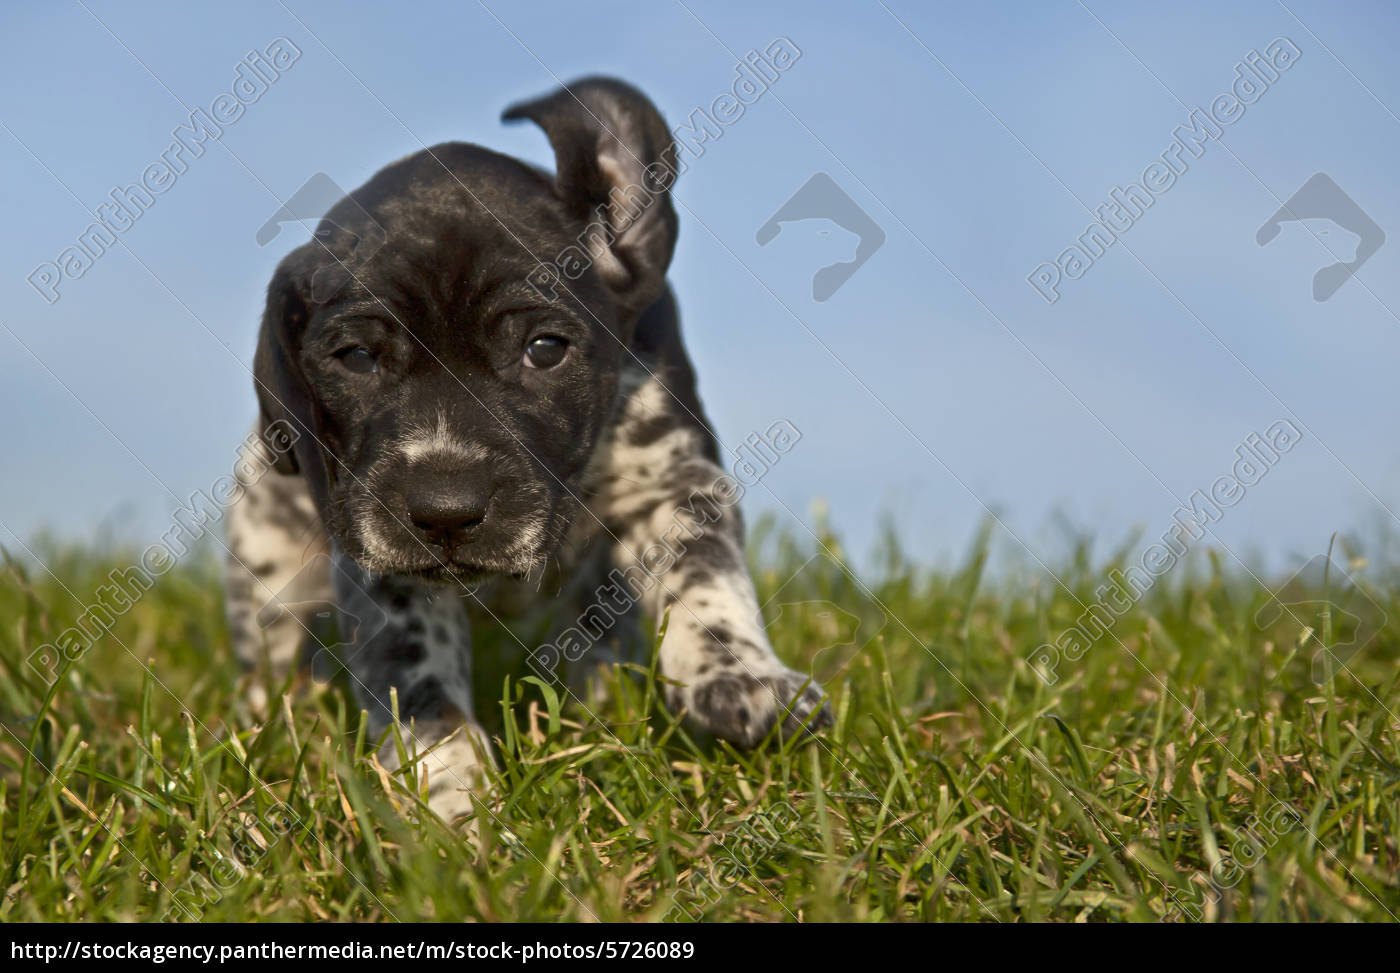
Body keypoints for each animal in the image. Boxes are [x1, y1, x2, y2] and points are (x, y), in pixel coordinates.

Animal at [222, 78, 823, 823]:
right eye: (357, 358)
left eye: (545, 349)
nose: (446, 510)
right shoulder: (377, 556)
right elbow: (416, 670)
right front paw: (449, 782)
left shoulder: (674, 483)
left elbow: (706, 579)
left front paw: (743, 678)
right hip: (265, 549)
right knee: (272, 646)